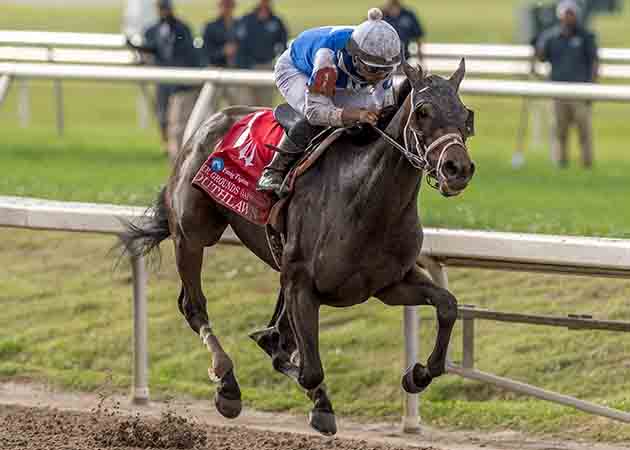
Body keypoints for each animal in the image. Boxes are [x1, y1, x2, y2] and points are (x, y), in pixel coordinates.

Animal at [122, 60, 478, 436]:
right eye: (423, 111)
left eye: (466, 114)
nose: (458, 168)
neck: (365, 199)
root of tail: (207, 123)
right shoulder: (302, 284)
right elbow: (306, 367)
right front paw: (317, 400)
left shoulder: (390, 284)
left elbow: (448, 305)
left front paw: (418, 374)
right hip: (192, 234)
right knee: (193, 306)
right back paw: (227, 383)